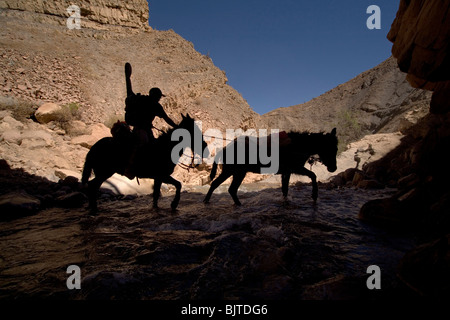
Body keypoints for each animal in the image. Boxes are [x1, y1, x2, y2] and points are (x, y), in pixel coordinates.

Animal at [204, 129, 338, 206]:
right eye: (331, 148)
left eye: (336, 148)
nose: (334, 168)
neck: (297, 145)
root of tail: (224, 149)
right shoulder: (296, 168)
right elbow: (313, 175)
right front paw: (314, 195)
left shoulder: (287, 172)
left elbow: (285, 189)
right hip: (233, 171)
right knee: (222, 186)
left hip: (236, 172)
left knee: (225, 187)